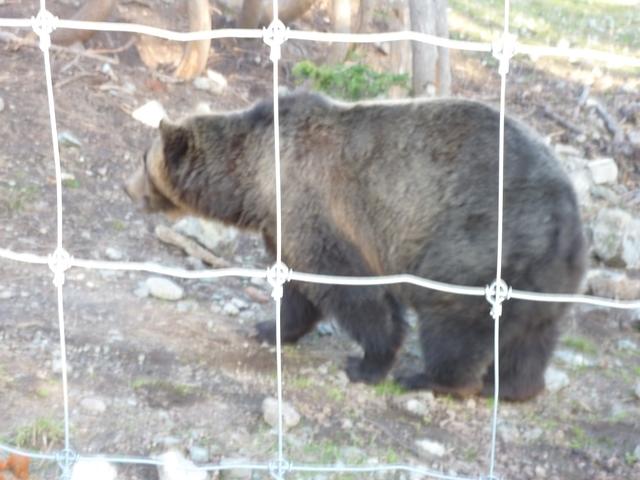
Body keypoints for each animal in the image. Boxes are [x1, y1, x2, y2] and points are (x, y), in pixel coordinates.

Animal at [125, 92, 584, 400]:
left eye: (143, 159)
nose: (128, 188)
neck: (253, 181)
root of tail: (566, 215)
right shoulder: (285, 223)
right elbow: (297, 287)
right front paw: (268, 328)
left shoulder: (317, 206)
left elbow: (349, 288)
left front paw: (368, 362)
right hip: (543, 273)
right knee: (533, 335)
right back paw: (511, 386)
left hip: (474, 244)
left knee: (454, 321)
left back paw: (431, 378)